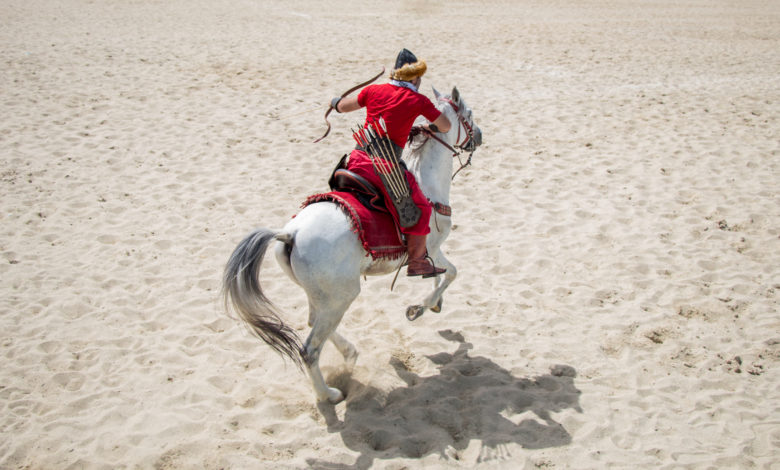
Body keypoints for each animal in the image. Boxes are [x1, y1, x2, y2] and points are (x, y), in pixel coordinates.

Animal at [222, 87, 482, 404]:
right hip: (341, 296)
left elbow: (446, 273)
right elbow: (450, 272)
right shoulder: (429, 248)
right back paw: (329, 394)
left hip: (323, 295)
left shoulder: (433, 251)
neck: (427, 182)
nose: (479, 136)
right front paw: (421, 307)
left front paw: (433, 303)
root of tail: (290, 233)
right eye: (468, 115)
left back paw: (349, 353)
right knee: (309, 349)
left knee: (313, 321)